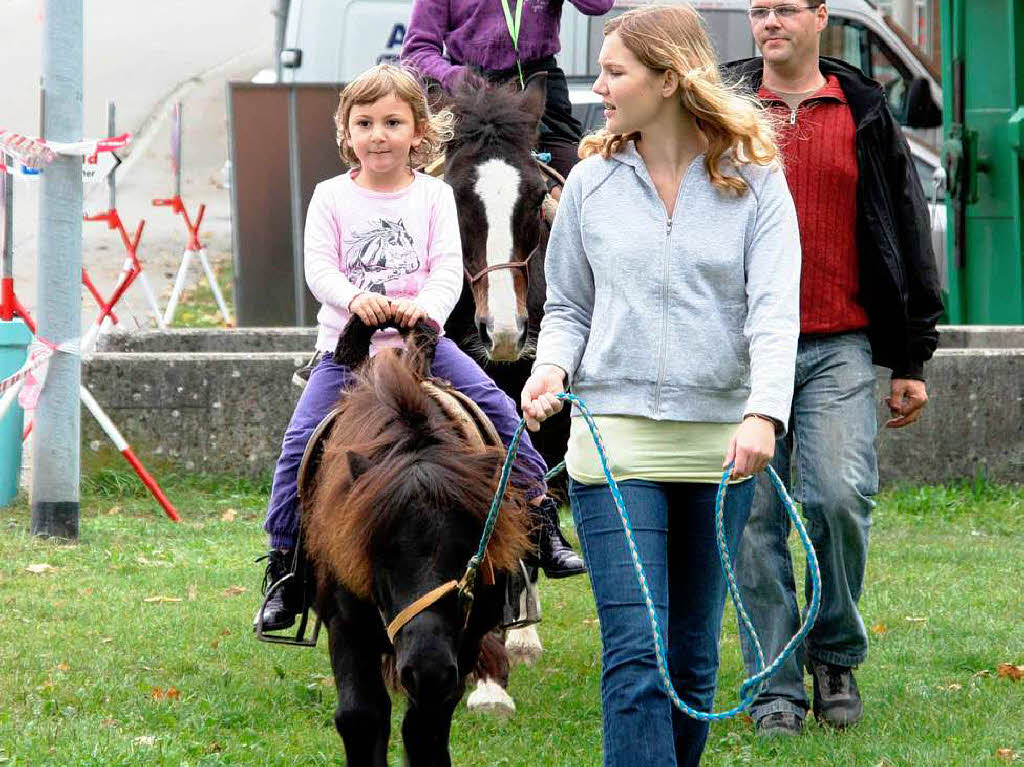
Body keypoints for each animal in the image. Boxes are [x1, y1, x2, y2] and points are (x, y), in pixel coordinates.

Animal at [301, 315, 528, 761]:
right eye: (379, 550)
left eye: (469, 552)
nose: (427, 670)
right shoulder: (346, 625)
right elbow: (361, 717)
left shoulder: (463, 640)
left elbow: (425, 730)